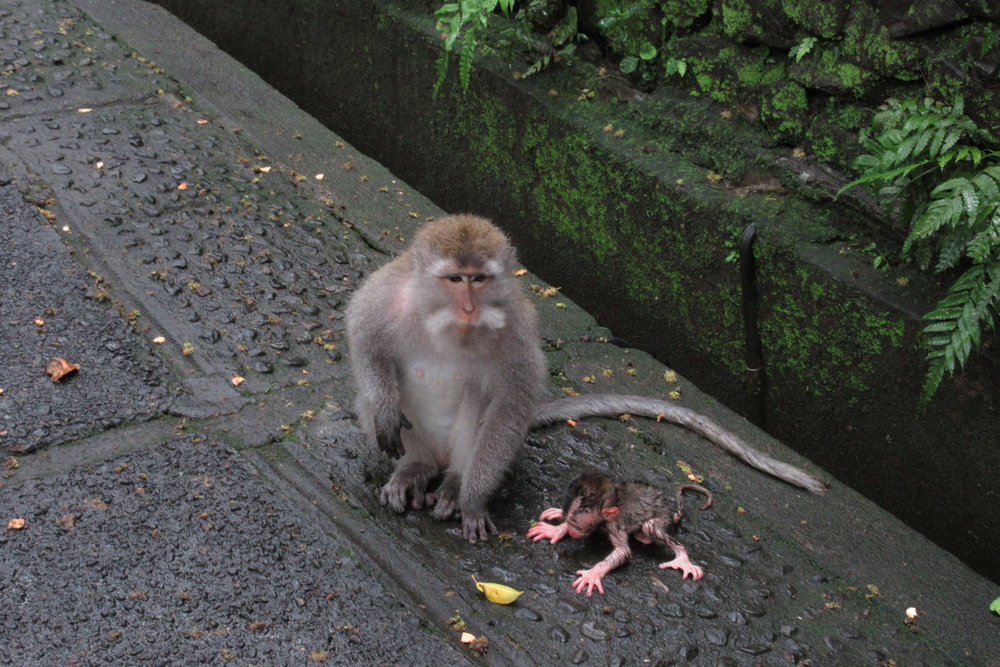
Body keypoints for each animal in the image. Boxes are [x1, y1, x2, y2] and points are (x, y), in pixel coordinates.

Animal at [346, 215, 824, 545]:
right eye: (454, 279)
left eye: (479, 279)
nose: (468, 308)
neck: (447, 326)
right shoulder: (388, 294)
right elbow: (365, 339)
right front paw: (385, 408)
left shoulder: (516, 328)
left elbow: (511, 405)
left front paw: (472, 499)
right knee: (379, 396)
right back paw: (416, 467)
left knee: (482, 405)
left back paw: (453, 482)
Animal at [527, 469, 713, 596]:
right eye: (570, 522)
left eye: (578, 527)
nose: (572, 533)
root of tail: (669, 510)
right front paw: (558, 528)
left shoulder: (614, 524)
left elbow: (624, 552)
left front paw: (593, 573)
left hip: (661, 518)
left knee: (649, 526)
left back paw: (681, 557)